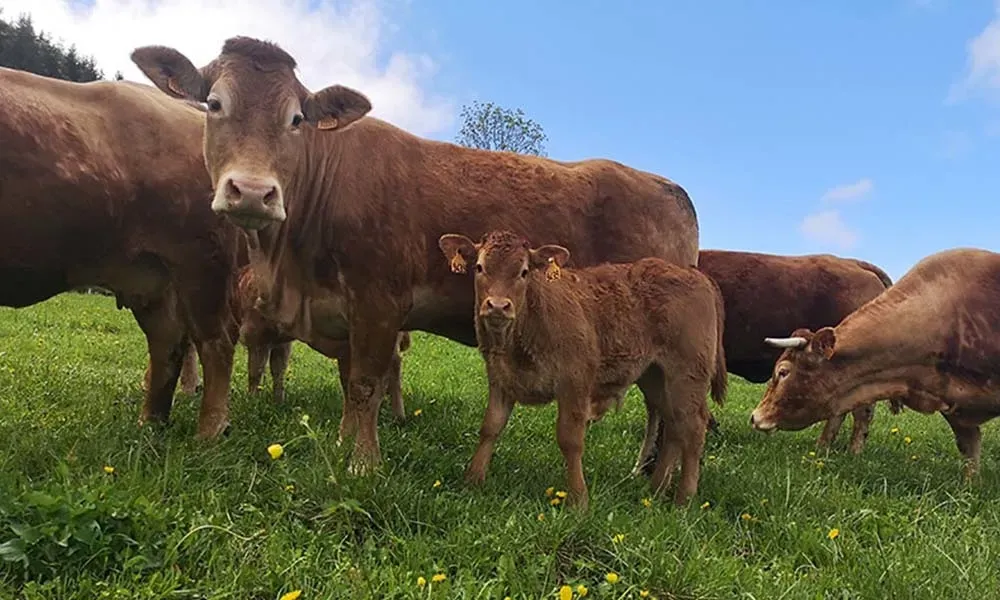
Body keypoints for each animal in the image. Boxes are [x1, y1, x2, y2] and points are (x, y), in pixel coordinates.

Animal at [0, 66, 243, 439]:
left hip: (201, 262)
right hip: (149, 274)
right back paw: (150, 425)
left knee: (216, 340)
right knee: (168, 340)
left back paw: (210, 433)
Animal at [130, 36, 702, 474]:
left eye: (295, 119)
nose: (251, 192)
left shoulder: (378, 301)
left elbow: (366, 383)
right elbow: (352, 385)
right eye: (214, 104)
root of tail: (668, 185)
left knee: (669, 411)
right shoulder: (345, 312)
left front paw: (363, 463)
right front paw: (344, 443)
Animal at [437, 230, 727, 509]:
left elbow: (570, 439)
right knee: (675, 425)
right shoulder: (500, 379)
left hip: (688, 375)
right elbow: (490, 427)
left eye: (523, 271)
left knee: (694, 428)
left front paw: (578, 499)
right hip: (656, 377)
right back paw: (655, 491)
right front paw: (473, 479)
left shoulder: (574, 382)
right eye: (479, 267)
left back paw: (684, 499)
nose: (498, 306)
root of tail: (693, 273)